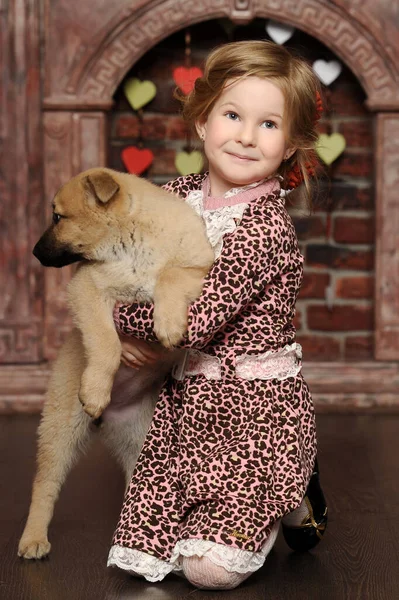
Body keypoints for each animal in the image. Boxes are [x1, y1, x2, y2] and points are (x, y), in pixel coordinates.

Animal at [18, 168, 216, 556]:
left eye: (58, 217)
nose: (33, 252)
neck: (133, 244)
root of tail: (109, 420)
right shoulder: (87, 288)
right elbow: (106, 342)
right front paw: (96, 390)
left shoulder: (202, 270)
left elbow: (171, 274)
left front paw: (168, 323)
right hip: (60, 429)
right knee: (44, 484)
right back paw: (33, 537)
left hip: (141, 441)